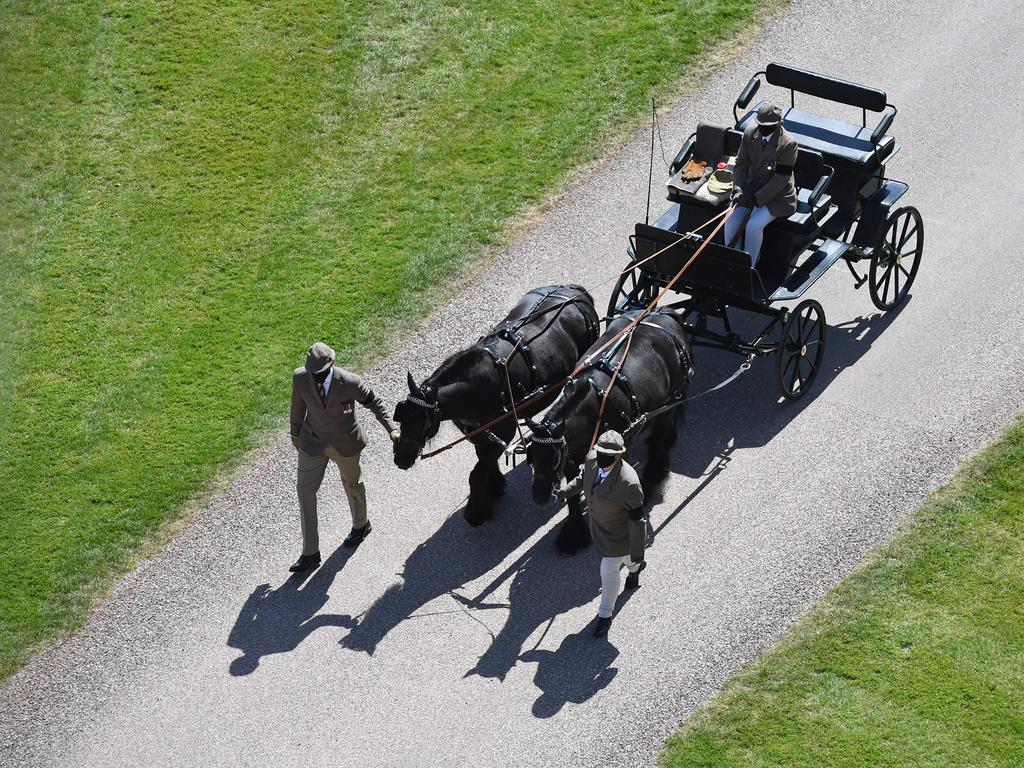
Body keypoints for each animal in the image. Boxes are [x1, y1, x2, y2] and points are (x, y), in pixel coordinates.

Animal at [391, 286, 598, 528]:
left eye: (422, 420)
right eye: (401, 416)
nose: (401, 458)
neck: (478, 385)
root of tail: (575, 291)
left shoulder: (504, 430)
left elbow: (477, 472)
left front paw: (475, 511)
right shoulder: (478, 431)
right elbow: (483, 460)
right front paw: (494, 488)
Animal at [524, 309, 692, 557]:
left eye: (553, 460)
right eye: (531, 458)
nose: (539, 496)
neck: (593, 406)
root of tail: (667, 314)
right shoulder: (572, 455)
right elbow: (573, 493)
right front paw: (574, 533)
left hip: (672, 395)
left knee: (661, 433)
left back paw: (653, 473)